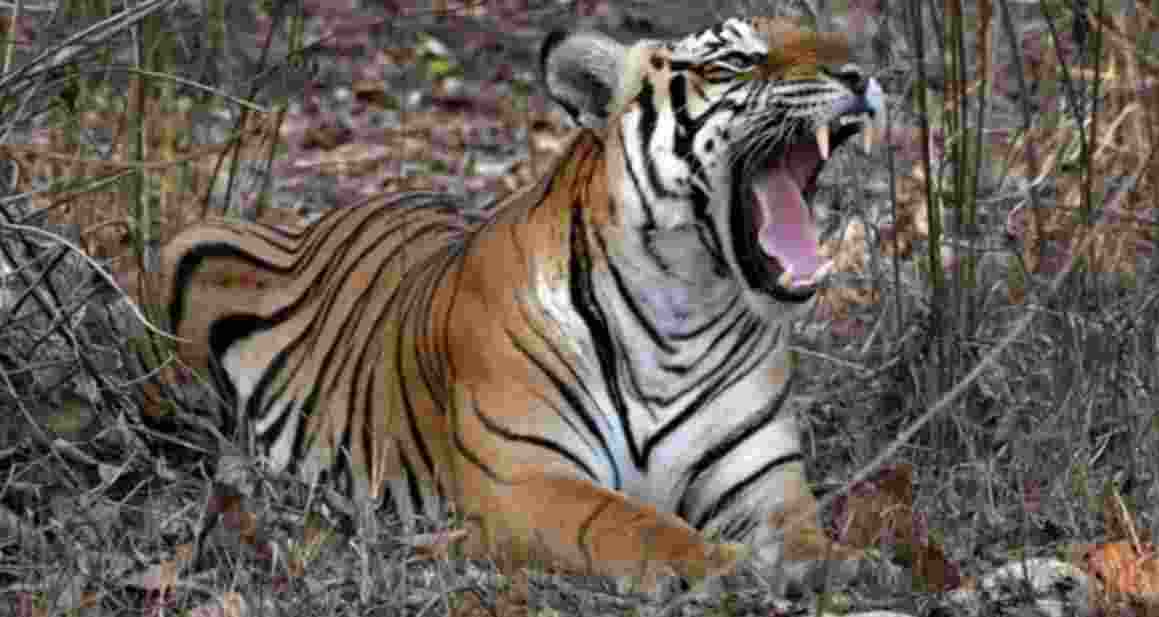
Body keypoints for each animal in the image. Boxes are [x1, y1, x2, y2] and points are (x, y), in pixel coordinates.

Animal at [158, 16, 884, 592]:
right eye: (734, 61)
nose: (858, 73)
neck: (685, 306)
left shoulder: (762, 479)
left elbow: (803, 532)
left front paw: (845, 564)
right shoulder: (526, 478)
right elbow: (635, 522)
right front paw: (721, 567)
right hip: (184, 253)